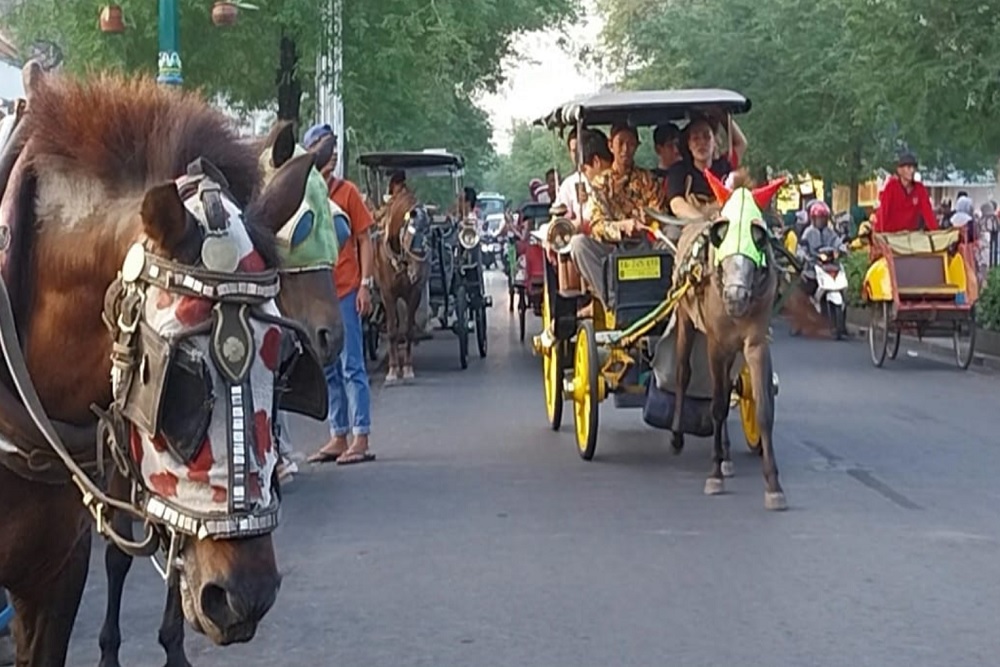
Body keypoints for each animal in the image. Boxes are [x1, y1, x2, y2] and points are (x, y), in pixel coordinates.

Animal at [370, 190, 428, 384]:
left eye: (427, 236)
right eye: (409, 237)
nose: (416, 274)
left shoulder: (413, 293)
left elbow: (408, 330)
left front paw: (408, 368)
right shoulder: (388, 294)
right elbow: (392, 331)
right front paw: (393, 370)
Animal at [668, 168, 792, 512]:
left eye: (758, 235)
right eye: (720, 233)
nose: (735, 297)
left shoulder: (755, 342)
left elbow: (763, 408)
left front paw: (773, 485)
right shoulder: (716, 343)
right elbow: (717, 406)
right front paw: (713, 475)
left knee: (725, 387)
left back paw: (724, 454)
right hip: (686, 322)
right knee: (684, 375)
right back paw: (678, 436)